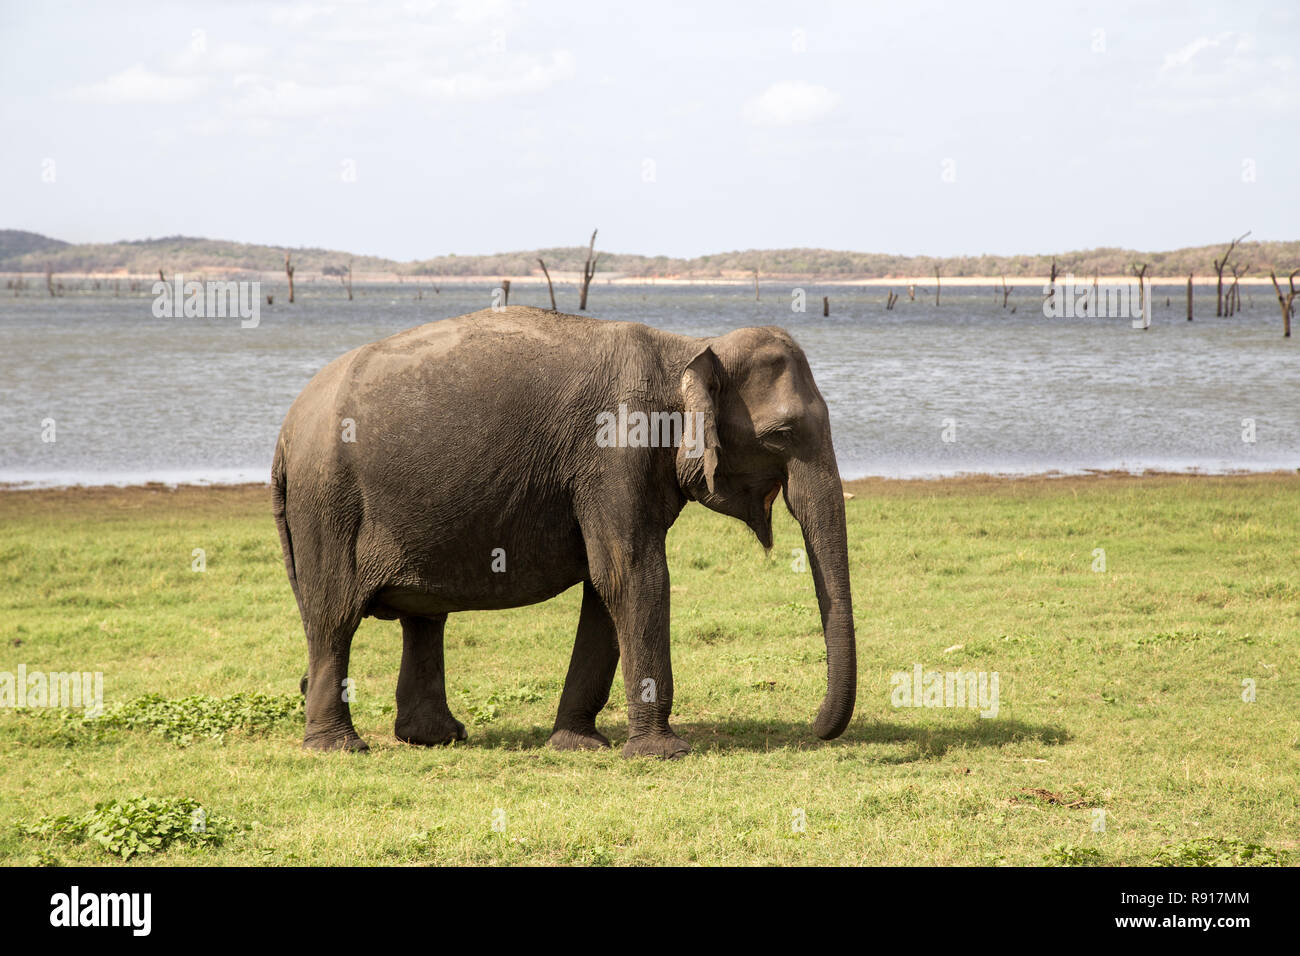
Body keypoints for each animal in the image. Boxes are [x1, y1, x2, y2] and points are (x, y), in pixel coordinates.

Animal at [270, 303, 857, 759]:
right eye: (781, 435)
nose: (813, 729)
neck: (685, 349)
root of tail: (285, 431)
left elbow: (606, 586)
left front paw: (578, 745)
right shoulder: (616, 450)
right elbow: (631, 574)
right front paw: (664, 753)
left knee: (423, 618)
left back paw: (436, 738)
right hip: (328, 506)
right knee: (334, 618)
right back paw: (339, 747)